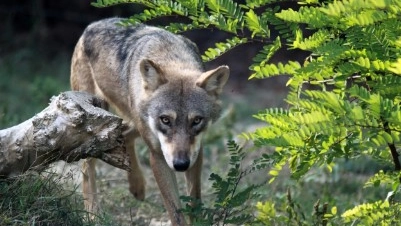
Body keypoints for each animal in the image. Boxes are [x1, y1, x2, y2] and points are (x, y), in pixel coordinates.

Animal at [70, 17, 230, 224]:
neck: (170, 56)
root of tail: (92, 25)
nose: (180, 164)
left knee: (124, 135)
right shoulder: (158, 156)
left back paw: (137, 186)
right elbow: (175, 212)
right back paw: (92, 212)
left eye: (196, 121)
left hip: (134, 122)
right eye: (165, 120)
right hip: (97, 119)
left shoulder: (196, 152)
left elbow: (195, 203)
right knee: (87, 167)